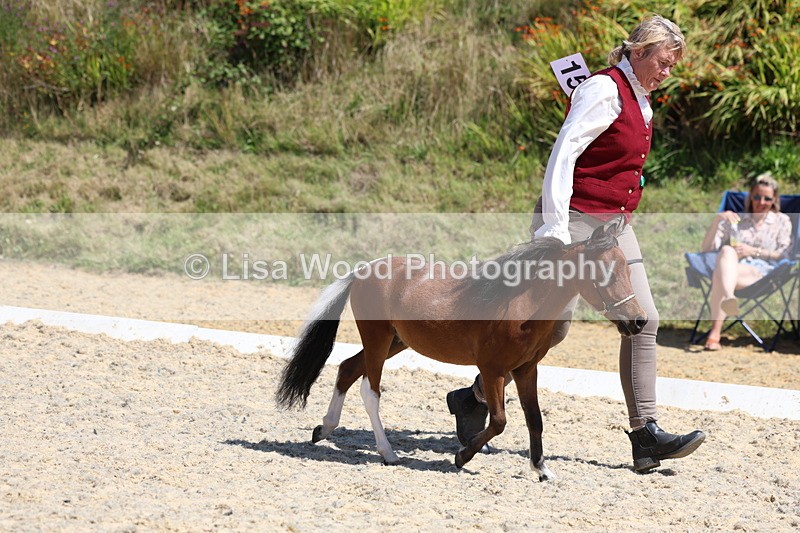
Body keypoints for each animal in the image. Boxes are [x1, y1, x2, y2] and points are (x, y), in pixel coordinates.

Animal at [276, 223, 647, 481]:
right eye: (605, 273)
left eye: (628, 270)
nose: (638, 321)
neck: (521, 304)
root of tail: (363, 271)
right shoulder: (493, 369)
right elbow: (499, 421)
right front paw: (461, 457)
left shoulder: (526, 370)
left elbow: (535, 420)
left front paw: (542, 470)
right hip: (378, 340)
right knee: (370, 390)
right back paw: (388, 453)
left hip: (394, 342)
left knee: (347, 369)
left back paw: (323, 430)